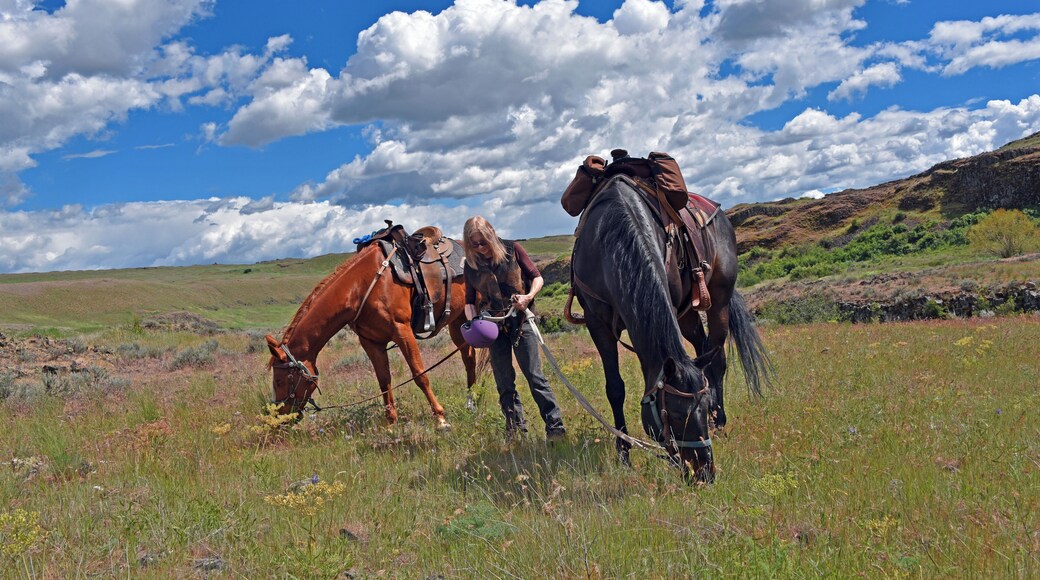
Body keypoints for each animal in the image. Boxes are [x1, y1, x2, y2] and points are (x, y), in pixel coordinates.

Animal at [264, 239, 477, 429]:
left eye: (280, 380)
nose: (279, 419)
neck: (361, 288)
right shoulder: (371, 342)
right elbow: (384, 381)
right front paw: (390, 424)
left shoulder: (402, 331)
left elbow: (420, 375)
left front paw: (440, 419)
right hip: (457, 321)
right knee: (469, 359)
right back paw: (472, 402)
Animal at [570, 176, 772, 481]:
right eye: (676, 415)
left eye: (701, 406)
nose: (704, 471)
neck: (608, 239)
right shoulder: (597, 323)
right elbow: (615, 387)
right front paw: (624, 454)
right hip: (688, 315)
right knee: (703, 349)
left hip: (718, 301)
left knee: (718, 360)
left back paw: (720, 422)